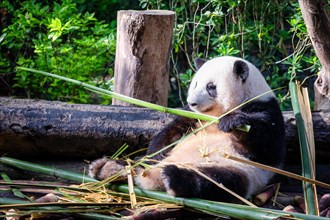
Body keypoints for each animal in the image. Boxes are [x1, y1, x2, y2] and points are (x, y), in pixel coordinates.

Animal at [88, 55, 286, 202]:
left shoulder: (265, 109)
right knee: (139, 163)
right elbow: (171, 131)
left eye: (211, 87)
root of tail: (152, 177)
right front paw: (156, 150)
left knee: (218, 181)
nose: (192, 102)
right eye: (195, 83)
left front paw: (232, 122)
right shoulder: (193, 118)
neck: (215, 115)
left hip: (239, 171)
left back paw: (173, 177)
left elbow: (265, 146)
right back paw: (108, 167)